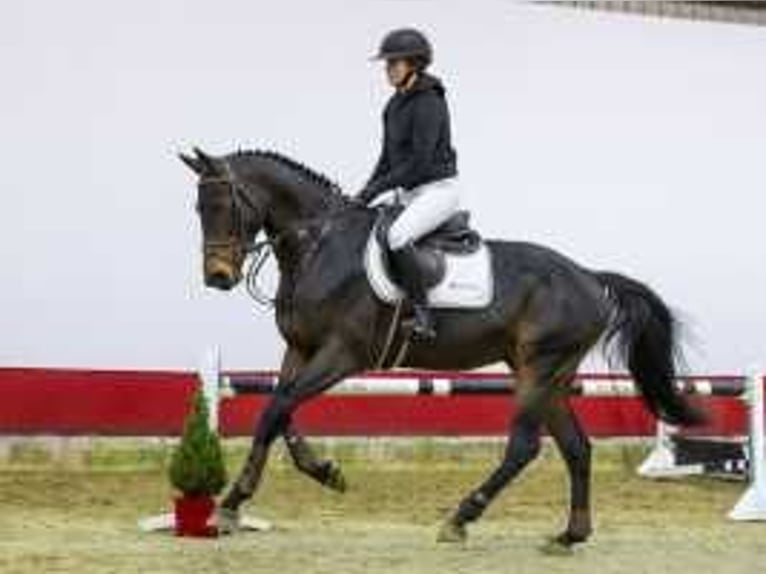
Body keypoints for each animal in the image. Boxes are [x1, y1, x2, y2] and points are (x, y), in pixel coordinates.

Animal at [182, 146, 708, 552]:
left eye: (222, 204)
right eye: (198, 209)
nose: (218, 277)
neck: (318, 246)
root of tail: (590, 277)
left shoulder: (342, 354)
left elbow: (278, 408)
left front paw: (230, 504)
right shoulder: (300, 350)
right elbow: (279, 410)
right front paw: (325, 471)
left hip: (540, 368)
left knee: (524, 446)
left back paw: (461, 518)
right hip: (548, 374)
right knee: (576, 447)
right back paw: (570, 535)